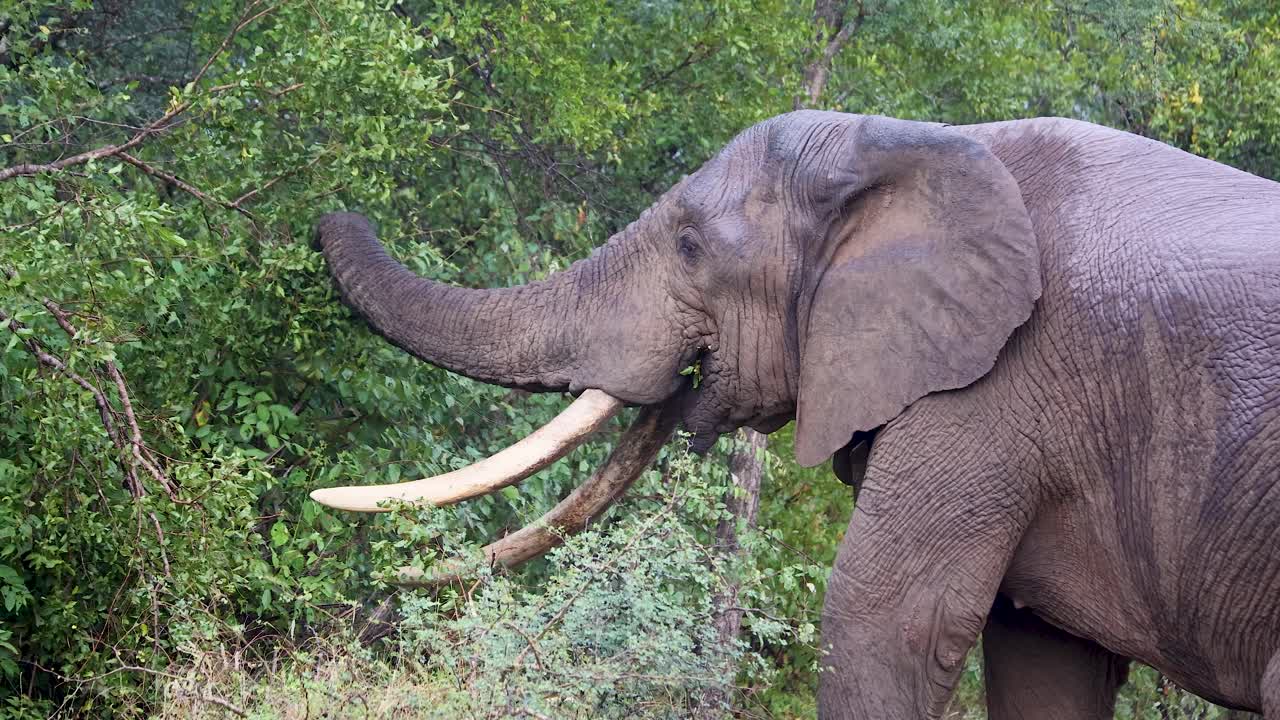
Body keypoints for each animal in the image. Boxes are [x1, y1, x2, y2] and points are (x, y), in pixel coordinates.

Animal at [310, 110, 1280, 719]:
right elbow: (1043, 657)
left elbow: (888, 618)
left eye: (690, 247)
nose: (334, 210)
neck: (915, 145)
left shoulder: (996, 386)